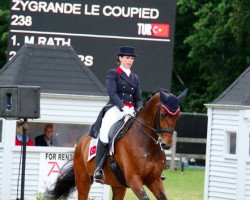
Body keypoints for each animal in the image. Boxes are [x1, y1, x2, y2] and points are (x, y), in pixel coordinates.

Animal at [47, 89, 188, 200]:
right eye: (163, 114)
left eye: (178, 116)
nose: (166, 144)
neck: (147, 145)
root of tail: (81, 142)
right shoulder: (134, 180)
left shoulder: (154, 180)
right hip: (83, 180)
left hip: (118, 185)